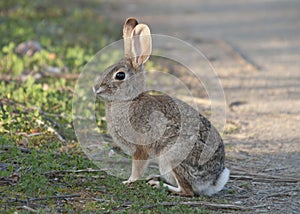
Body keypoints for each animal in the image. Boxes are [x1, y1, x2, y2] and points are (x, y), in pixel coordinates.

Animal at [94, 17, 230, 196]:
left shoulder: (141, 148)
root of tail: (213, 180)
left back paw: (158, 185)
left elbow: (137, 168)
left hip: (171, 157)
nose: (96, 88)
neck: (129, 100)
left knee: (187, 191)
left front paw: (129, 181)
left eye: (120, 75)